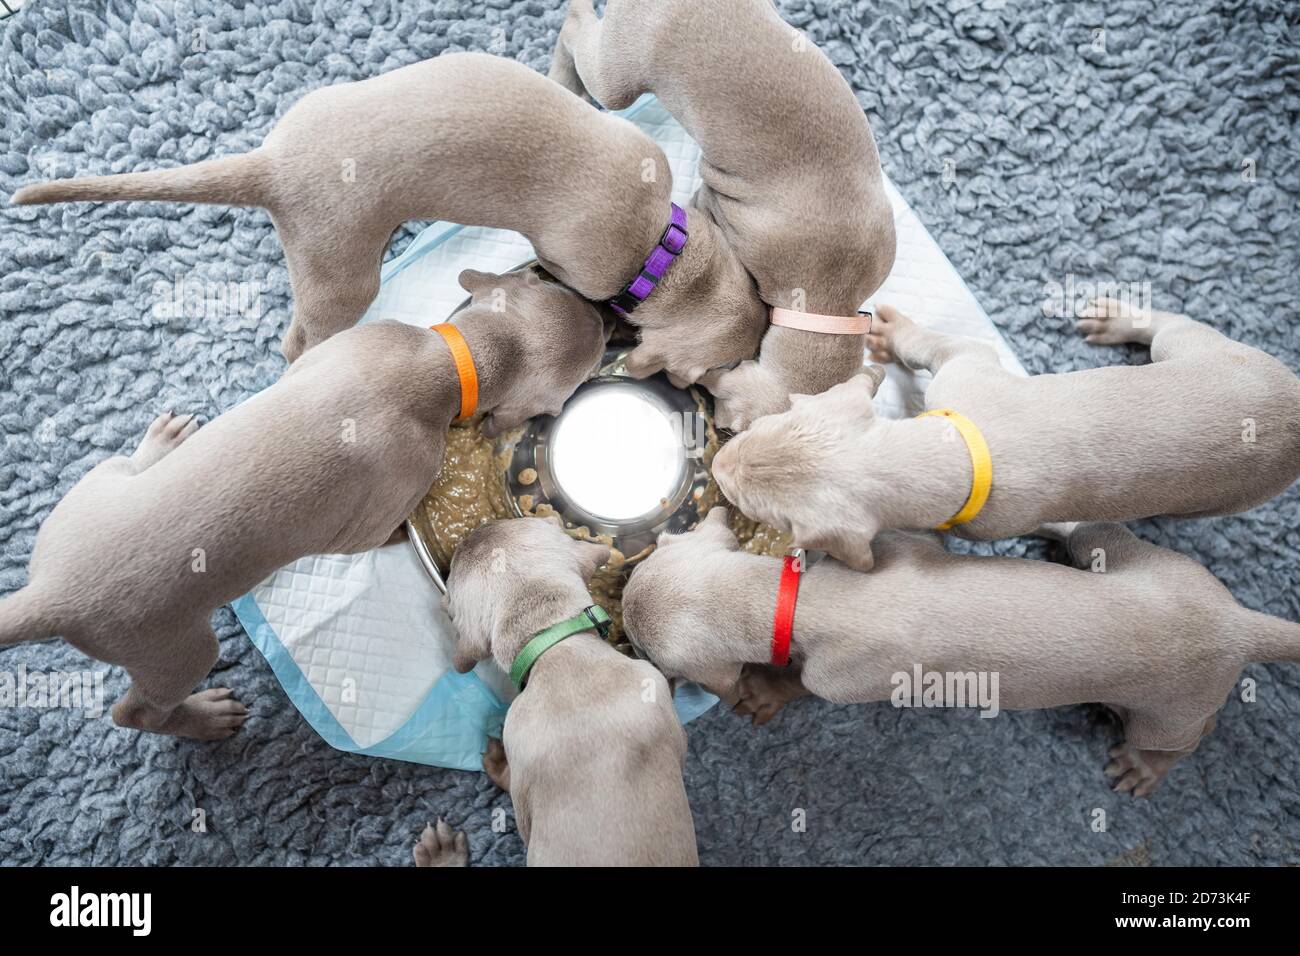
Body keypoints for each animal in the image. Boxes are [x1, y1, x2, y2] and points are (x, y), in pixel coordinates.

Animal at [0, 267, 603, 738]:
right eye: (586, 362)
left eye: (542, 283)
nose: (601, 317)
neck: (442, 361)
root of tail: (50, 594)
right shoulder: (389, 497)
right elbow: (378, 532)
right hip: (174, 649)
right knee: (136, 713)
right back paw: (200, 720)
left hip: (84, 498)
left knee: (117, 470)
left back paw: (158, 447)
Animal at [621, 512, 1300, 796]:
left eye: (646, 653)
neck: (800, 598)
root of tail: (1237, 622)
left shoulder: (844, 678)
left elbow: (800, 683)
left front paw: (764, 690)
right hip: (1133, 560)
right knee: (1097, 533)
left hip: (1170, 708)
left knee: (1189, 735)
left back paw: (1146, 765)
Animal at [712, 299, 1300, 567]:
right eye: (775, 420)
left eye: (764, 511)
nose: (717, 465)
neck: (953, 454)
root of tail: (1295, 400)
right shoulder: (963, 373)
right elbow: (940, 347)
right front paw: (896, 336)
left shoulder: (994, 519)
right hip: (1201, 353)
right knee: (1172, 330)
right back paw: (1121, 321)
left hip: (1227, 490)